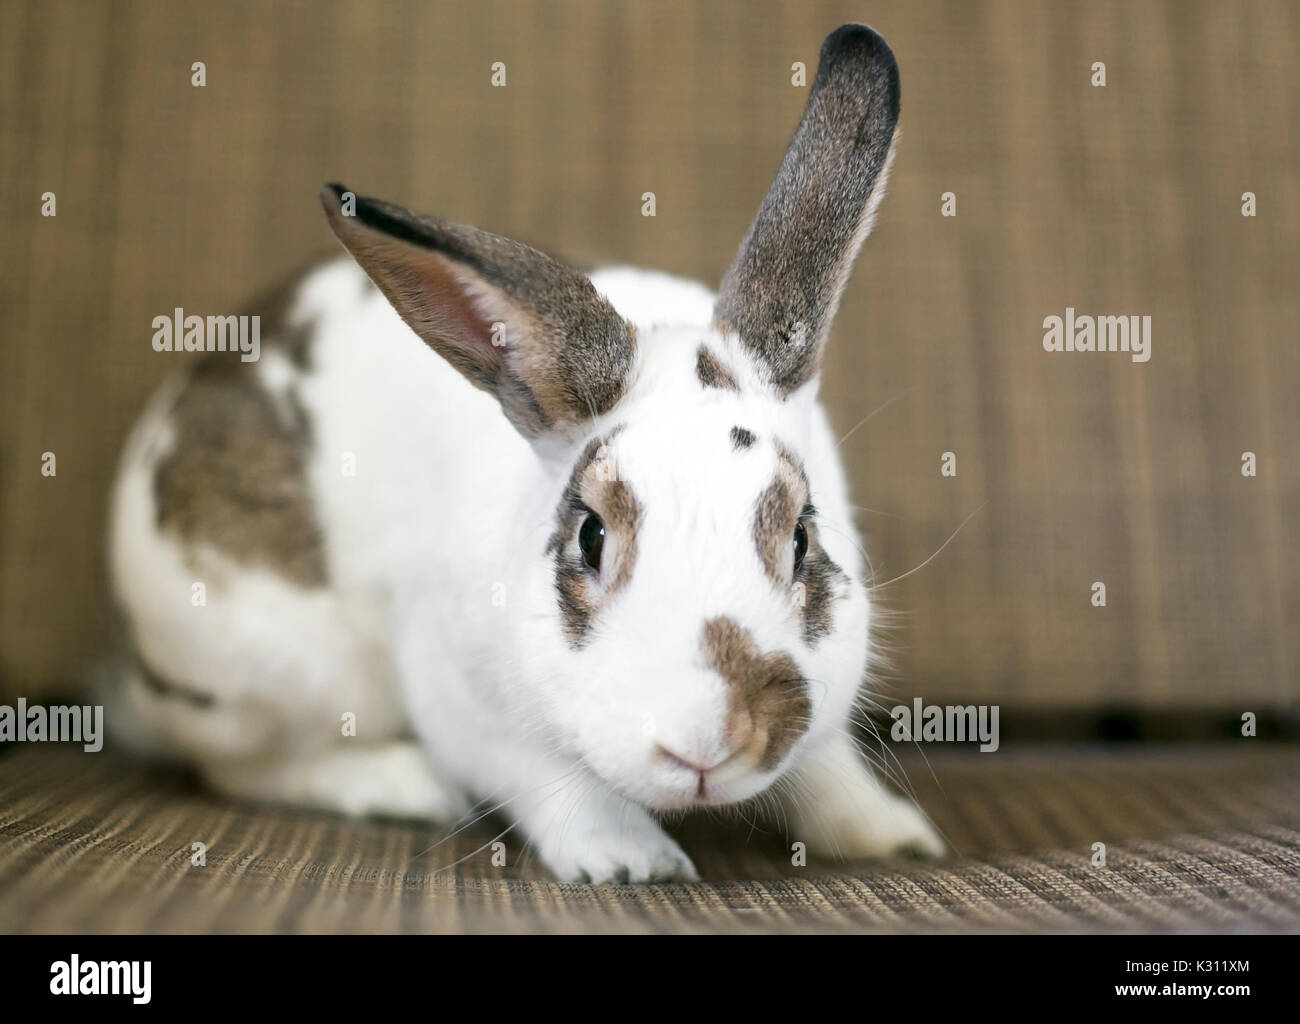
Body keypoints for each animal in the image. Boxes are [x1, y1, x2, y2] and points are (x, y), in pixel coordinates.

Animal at [104, 23, 945, 883]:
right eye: (591, 536)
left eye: (802, 538)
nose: (707, 744)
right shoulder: (463, 702)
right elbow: (541, 776)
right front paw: (630, 861)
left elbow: (827, 764)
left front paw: (891, 837)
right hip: (274, 674)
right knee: (235, 764)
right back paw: (400, 785)